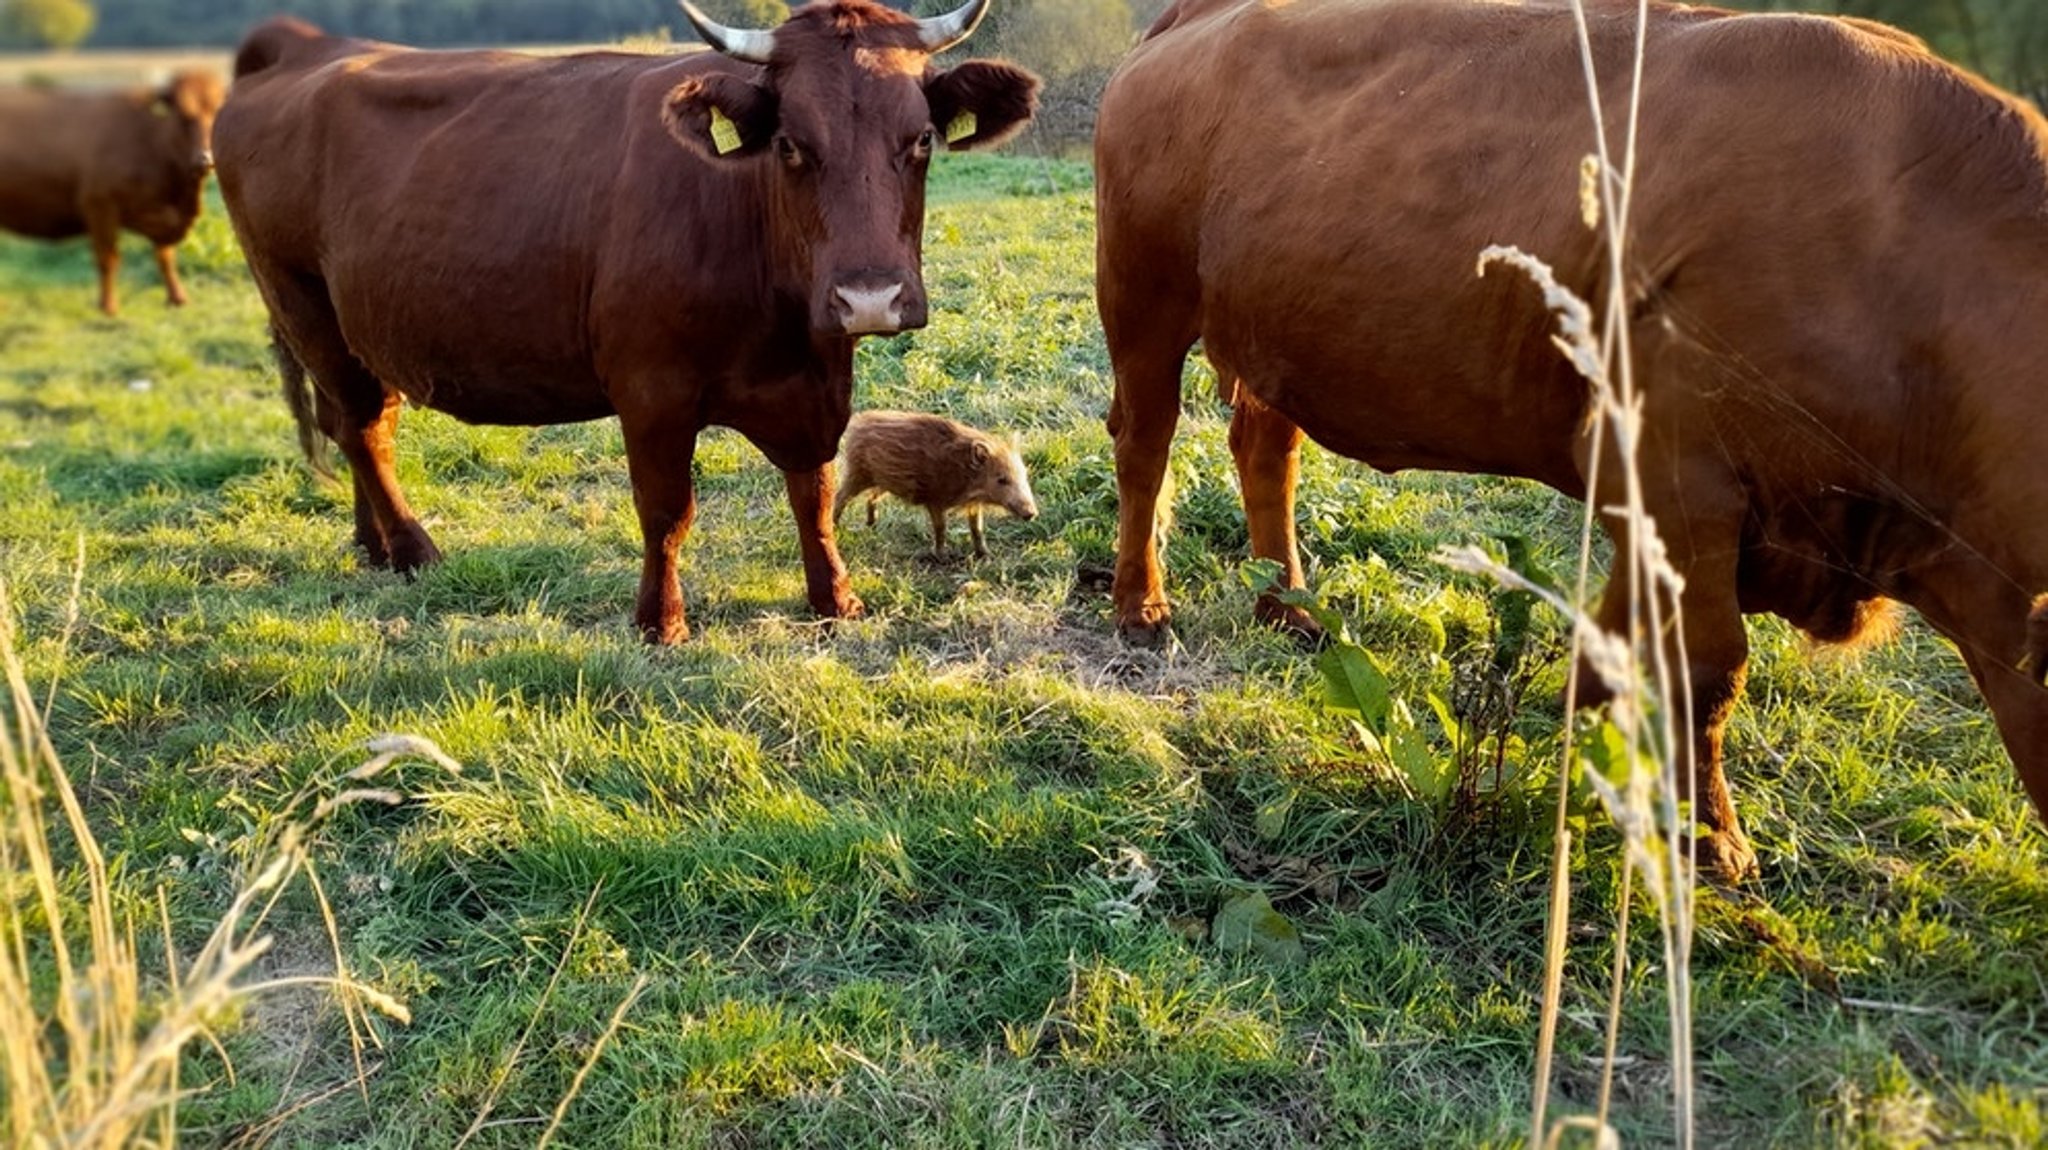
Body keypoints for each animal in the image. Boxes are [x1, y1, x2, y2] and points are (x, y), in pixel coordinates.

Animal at [0, 71, 226, 313]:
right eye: (184, 114)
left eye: (218, 111)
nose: (206, 159)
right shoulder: (100, 206)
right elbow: (108, 259)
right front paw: (108, 306)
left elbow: (165, 257)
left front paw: (177, 298)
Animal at [827, 409, 1032, 556]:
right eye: (1001, 479)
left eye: (1023, 473)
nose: (1031, 513)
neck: (964, 472)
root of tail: (856, 422)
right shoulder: (935, 501)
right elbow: (941, 528)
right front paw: (942, 556)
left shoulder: (973, 504)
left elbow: (977, 529)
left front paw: (986, 555)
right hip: (857, 474)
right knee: (840, 497)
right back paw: (835, 526)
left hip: (882, 481)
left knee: (871, 498)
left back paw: (872, 524)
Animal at [1097, 0, 2048, 875]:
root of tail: (1196, 16)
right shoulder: (1680, 483)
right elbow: (1709, 670)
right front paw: (1711, 840)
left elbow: (1625, 652)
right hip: (1144, 306)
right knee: (1145, 447)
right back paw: (1141, 608)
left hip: (1276, 336)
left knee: (1266, 451)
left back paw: (1289, 609)